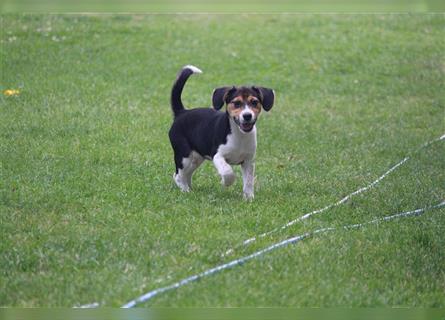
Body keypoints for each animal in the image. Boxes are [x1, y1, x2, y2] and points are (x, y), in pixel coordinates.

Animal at [167, 65, 274, 200]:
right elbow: (228, 172)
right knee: (178, 175)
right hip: (184, 155)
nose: (247, 116)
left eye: (254, 102)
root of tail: (181, 112)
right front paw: (225, 182)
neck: (239, 135)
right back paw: (185, 190)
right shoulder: (217, 156)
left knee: (186, 174)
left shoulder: (248, 161)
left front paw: (249, 198)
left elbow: (249, 181)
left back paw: (190, 189)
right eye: (237, 103)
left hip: (196, 157)